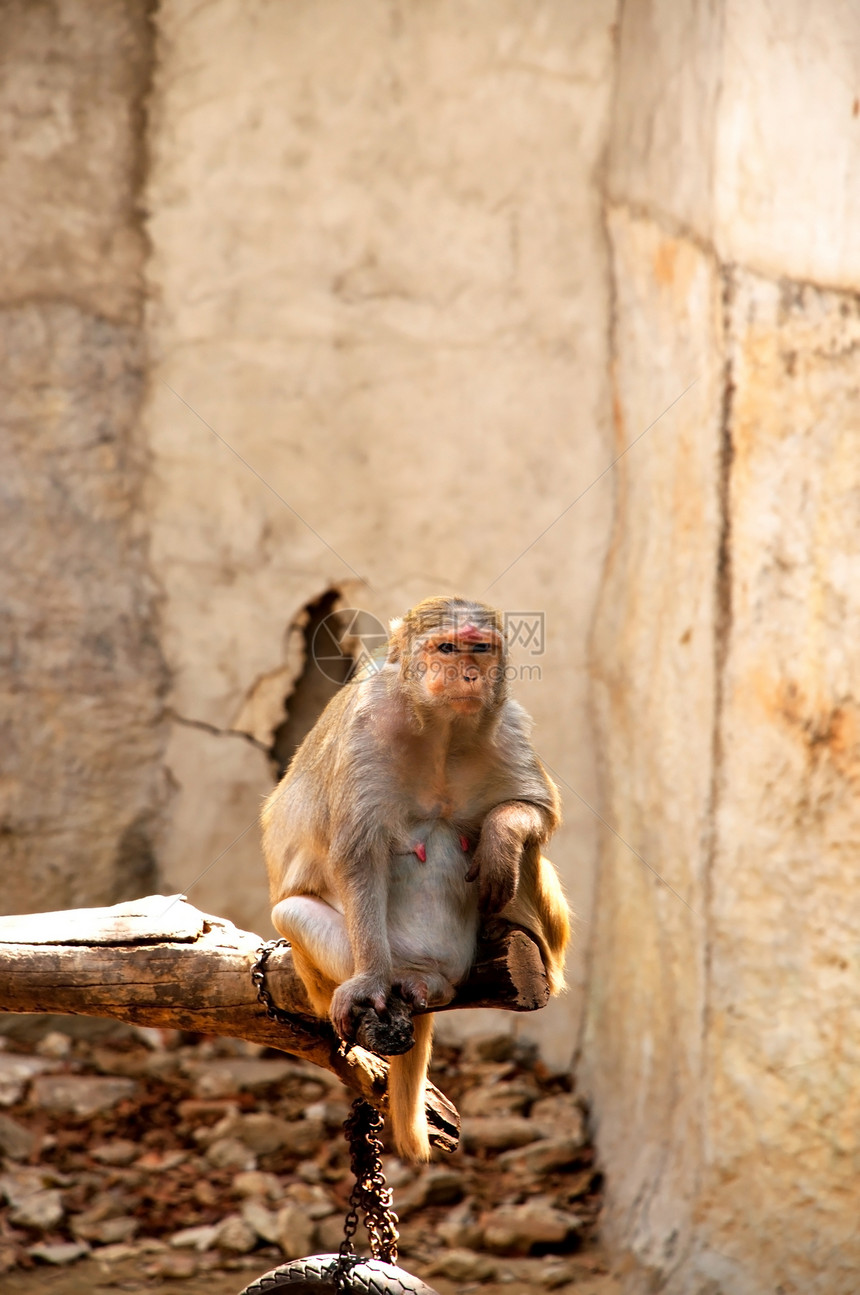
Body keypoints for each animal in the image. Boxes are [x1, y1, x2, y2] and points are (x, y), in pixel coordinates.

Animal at [261, 593, 569, 1160]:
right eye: (446, 648)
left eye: (479, 648)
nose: (469, 674)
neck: (441, 730)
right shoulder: (363, 732)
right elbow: (357, 857)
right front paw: (369, 980)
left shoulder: (509, 725)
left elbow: (535, 812)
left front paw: (500, 834)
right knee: (291, 912)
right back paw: (404, 980)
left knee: (524, 857)